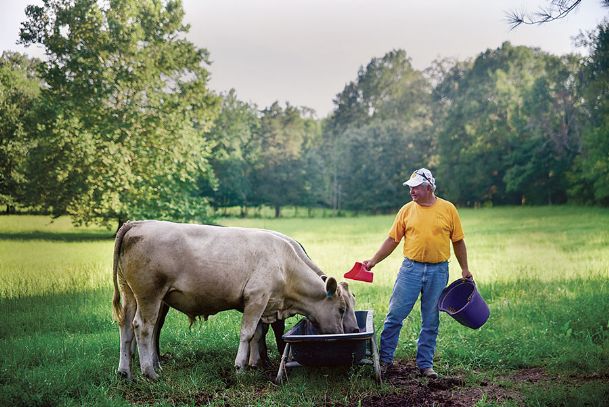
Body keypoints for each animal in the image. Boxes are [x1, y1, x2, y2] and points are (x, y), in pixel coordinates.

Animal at [112, 222, 356, 380]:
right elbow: (247, 333)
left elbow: (257, 333)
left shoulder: (264, 305)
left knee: (126, 326)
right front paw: (240, 367)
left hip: (130, 294)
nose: (351, 331)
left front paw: (254, 363)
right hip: (150, 294)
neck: (285, 266)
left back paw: (125, 371)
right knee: (144, 328)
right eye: (341, 309)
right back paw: (149, 372)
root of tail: (138, 224)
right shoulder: (257, 298)